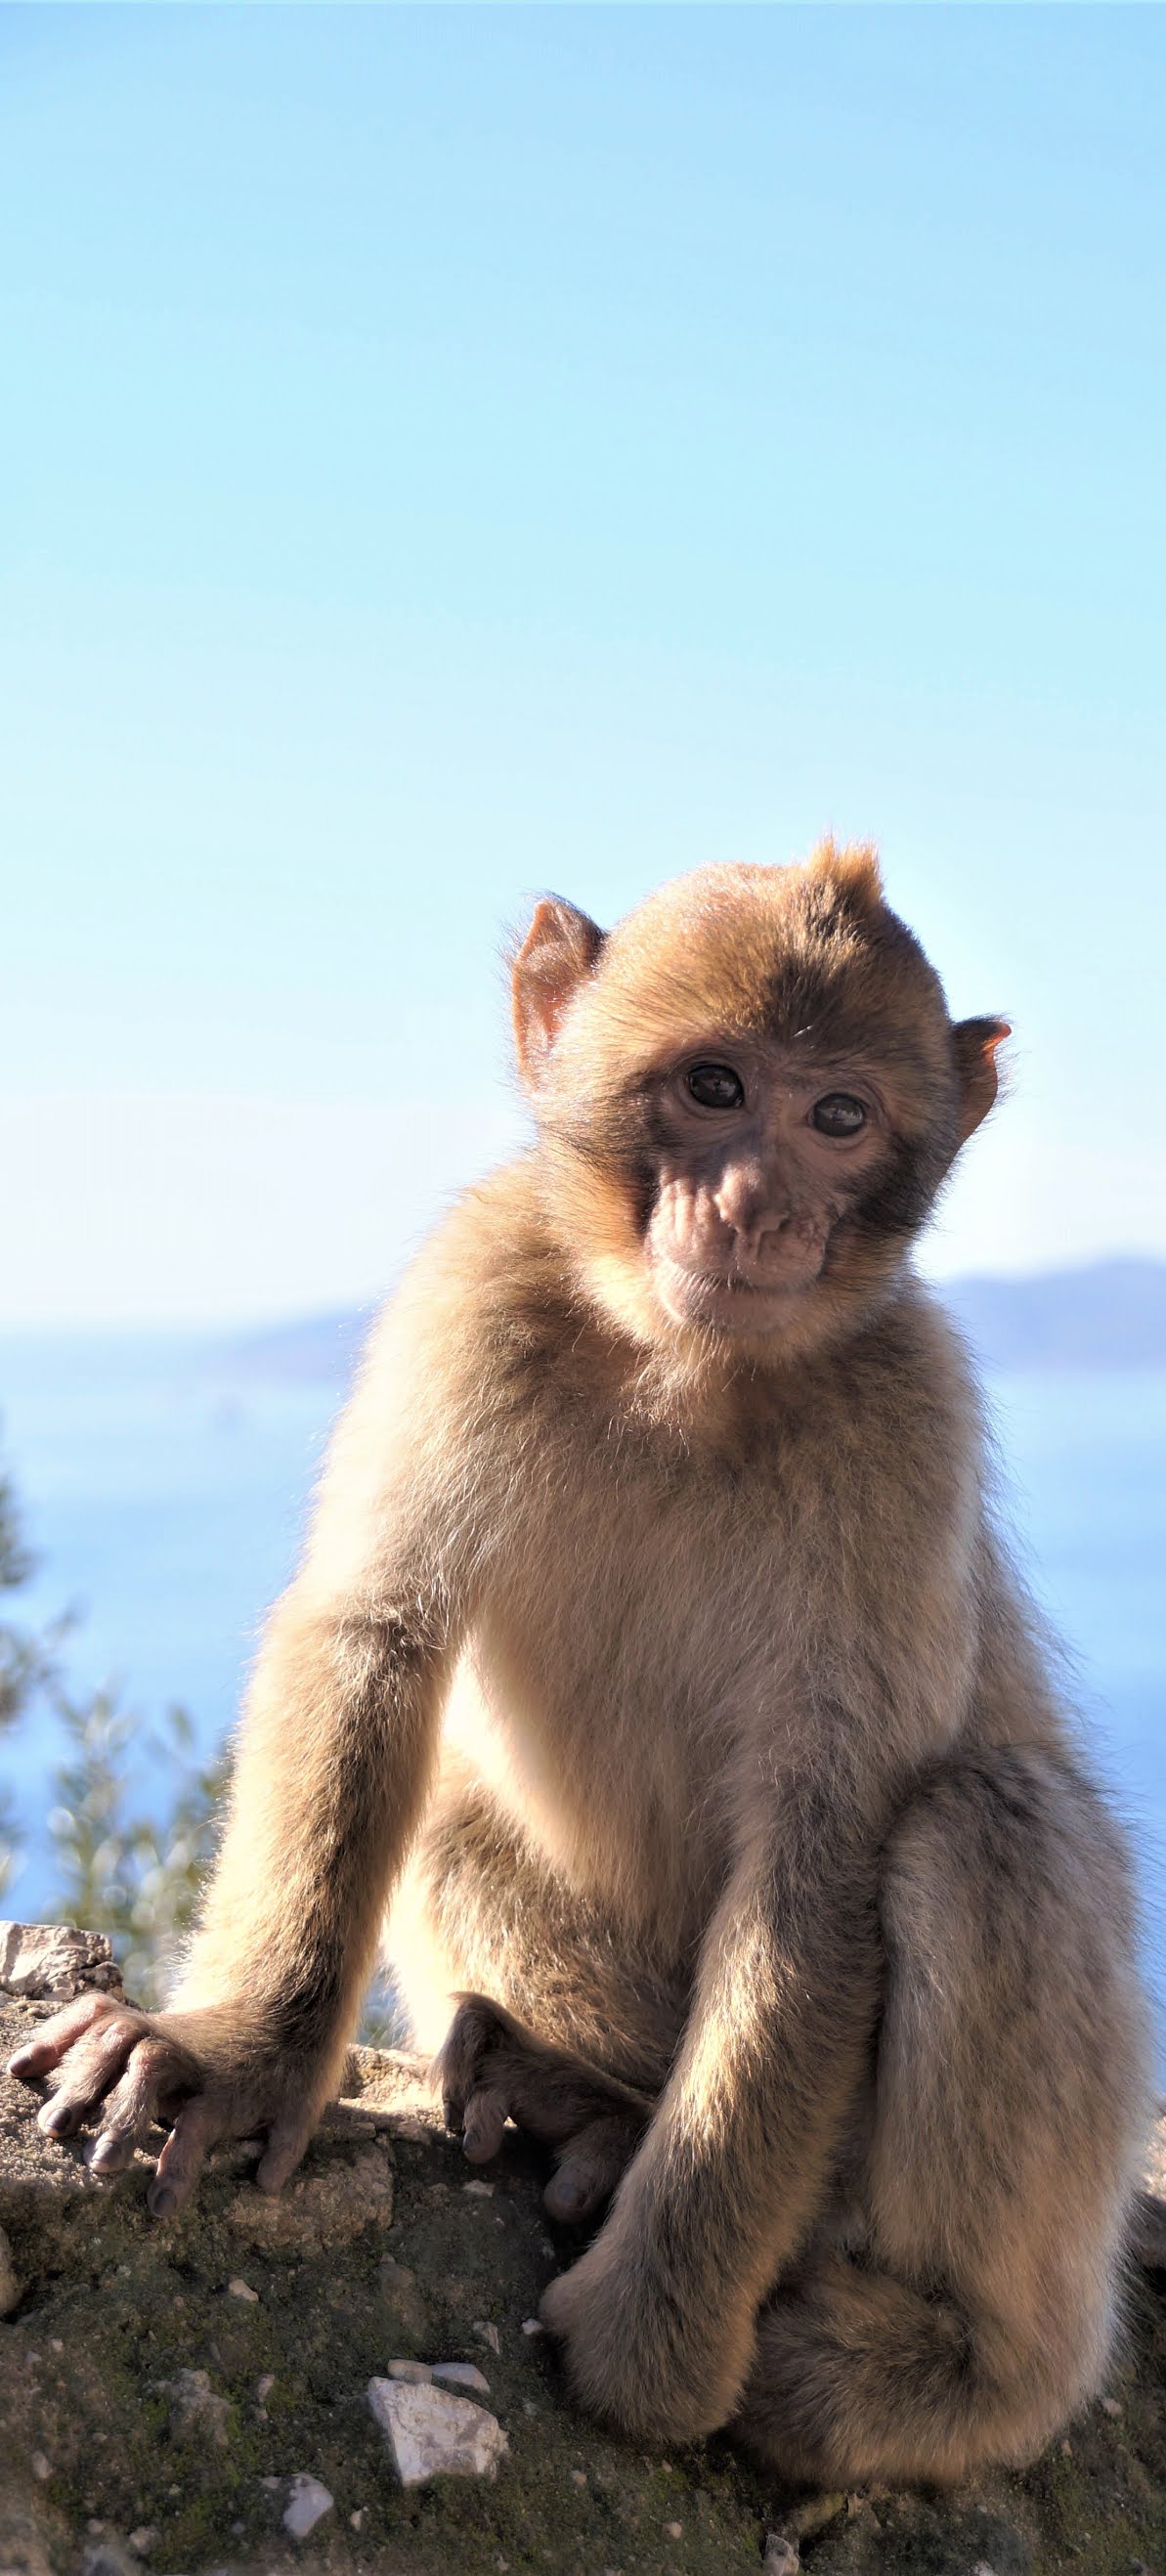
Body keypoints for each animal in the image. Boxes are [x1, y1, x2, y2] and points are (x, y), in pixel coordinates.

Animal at [9, 854, 1147, 2483]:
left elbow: (821, 1845)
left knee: (990, 1826)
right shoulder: (477, 1279)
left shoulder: (910, 1414)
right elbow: (374, 1635)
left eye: (839, 1115)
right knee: (445, 1804)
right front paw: (238, 2053)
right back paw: (591, 2104)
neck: (689, 1362)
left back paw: (954, 2367)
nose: (755, 1202)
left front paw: (650, 2344)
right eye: (715, 1084)